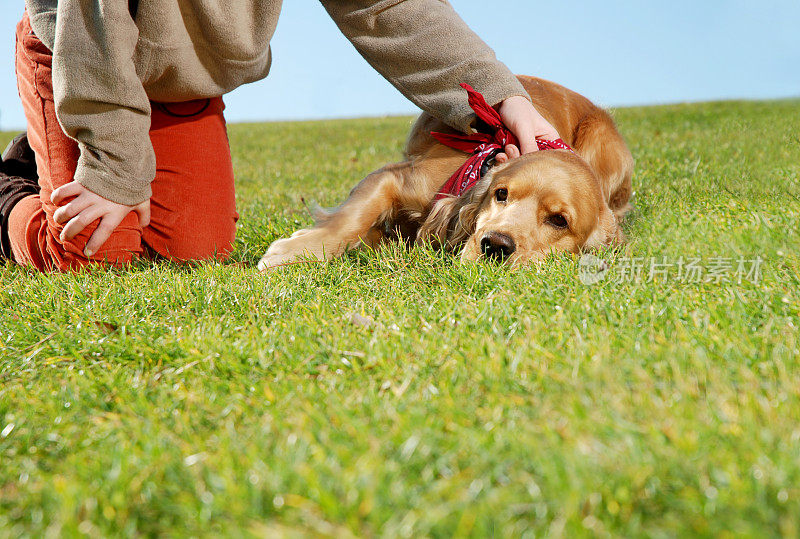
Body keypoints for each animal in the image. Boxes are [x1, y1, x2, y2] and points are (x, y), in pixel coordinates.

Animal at [260, 76, 636, 270]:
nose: (495, 245)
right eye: (501, 194)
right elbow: (351, 220)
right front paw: (291, 253)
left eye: (559, 220)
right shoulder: (397, 178)